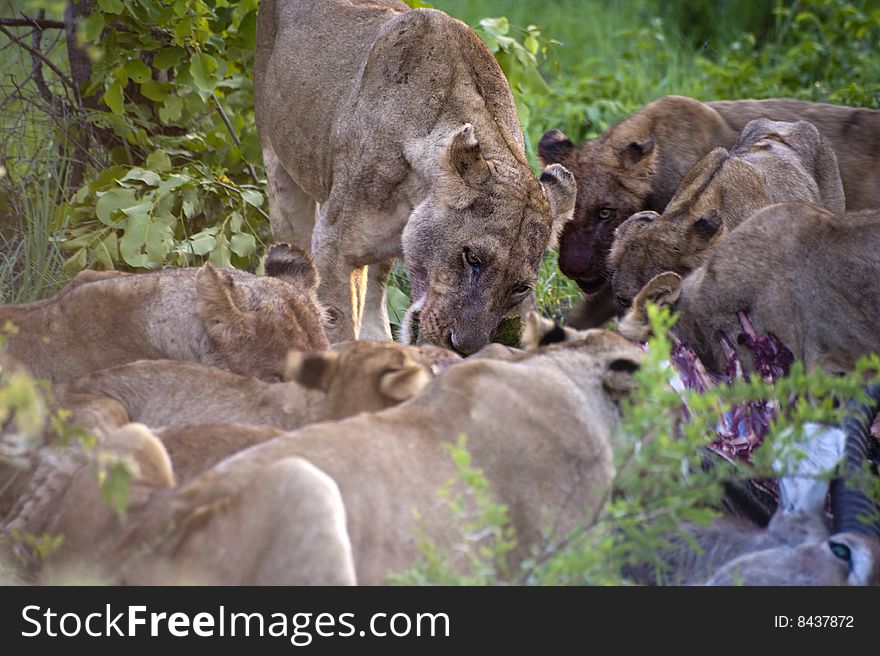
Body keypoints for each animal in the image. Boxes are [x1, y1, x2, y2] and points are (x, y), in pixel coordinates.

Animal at [256, 0, 576, 352]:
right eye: (472, 257)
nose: (462, 347)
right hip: (278, 167)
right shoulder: (331, 243)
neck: (417, 194)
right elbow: (337, 324)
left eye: (519, 287)